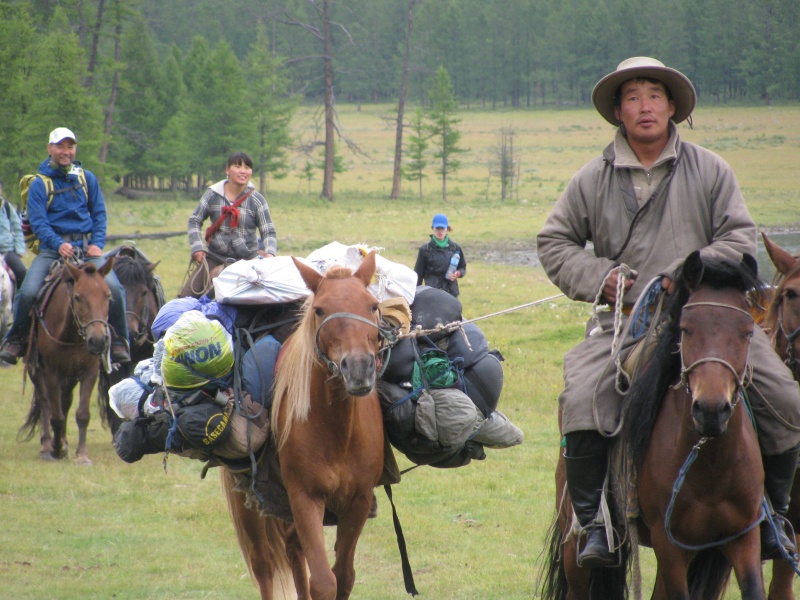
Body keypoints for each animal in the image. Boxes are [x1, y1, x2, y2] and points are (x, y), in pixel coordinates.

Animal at [18, 258, 115, 465]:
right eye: (77, 297)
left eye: (108, 295)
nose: (98, 341)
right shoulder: (51, 372)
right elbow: (55, 415)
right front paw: (56, 449)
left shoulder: (89, 372)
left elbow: (82, 414)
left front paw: (82, 455)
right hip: (36, 370)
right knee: (45, 401)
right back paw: (47, 445)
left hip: (69, 377)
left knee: (65, 401)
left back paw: (63, 441)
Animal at [223, 251, 388, 600]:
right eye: (320, 309)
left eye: (372, 305)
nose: (358, 367)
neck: (336, 431)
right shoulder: (305, 499)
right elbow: (324, 582)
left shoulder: (357, 502)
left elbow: (344, 576)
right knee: (264, 566)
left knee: (293, 548)